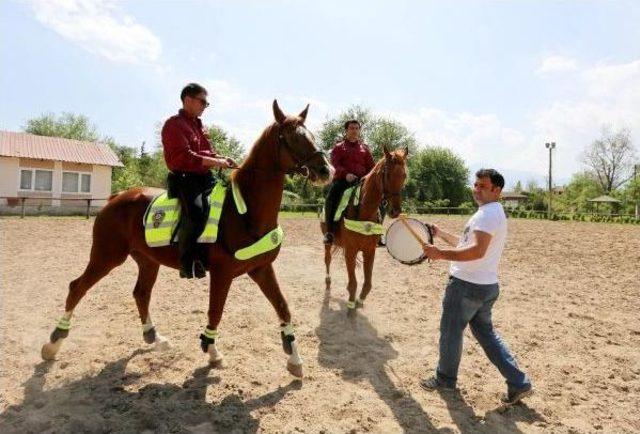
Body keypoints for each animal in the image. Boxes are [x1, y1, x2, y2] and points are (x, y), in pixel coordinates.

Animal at [40, 101, 332, 376]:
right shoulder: (223, 273)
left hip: (147, 260)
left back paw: (155, 338)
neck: (244, 210)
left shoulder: (261, 268)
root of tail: (117, 197)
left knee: (141, 294)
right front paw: (212, 351)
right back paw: (53, 343)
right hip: (106, 256)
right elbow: (216, 310)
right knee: (77, 287)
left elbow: (283, 307)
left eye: (312, 135)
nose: (326, 170)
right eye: (293, 137)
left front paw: (295, 359)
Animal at [322, 146, 408, 316]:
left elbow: (367, 283)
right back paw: (328, 282)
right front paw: (350, 307)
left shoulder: (369, 251)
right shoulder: (350, 251)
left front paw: (359, 301)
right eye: (387, 174)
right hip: (328, 241)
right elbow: (353, 282)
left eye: (404, 175)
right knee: (327, 259)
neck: (363, 211)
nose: (395, 211)